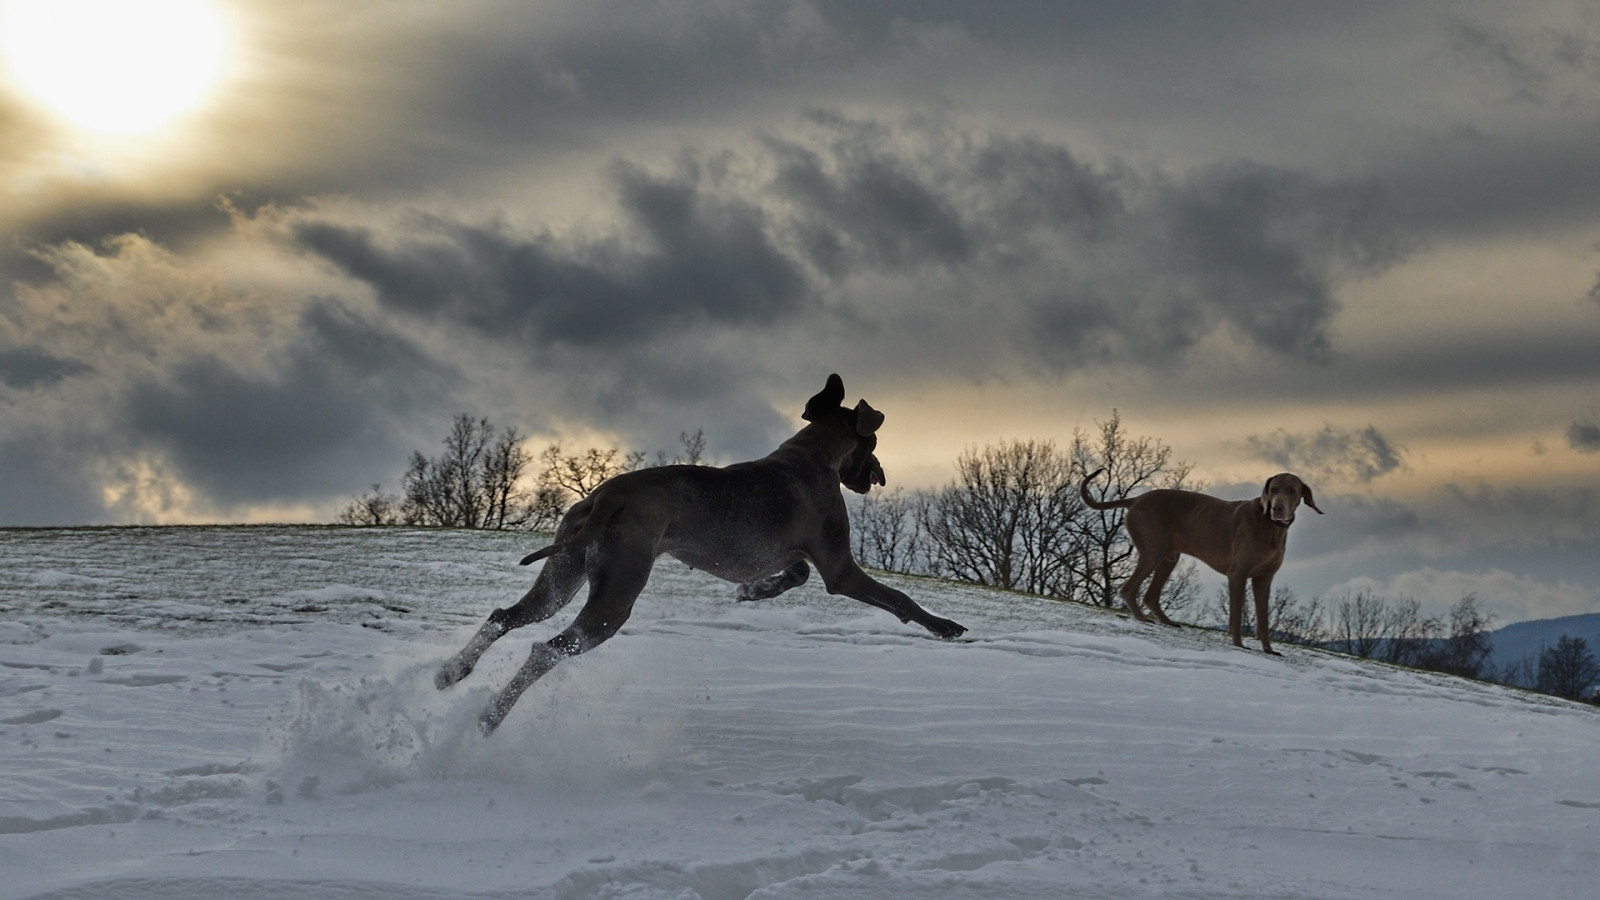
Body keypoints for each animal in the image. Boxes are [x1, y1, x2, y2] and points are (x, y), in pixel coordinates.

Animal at [1075, 470, 1324, 650]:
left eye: (1292, 490)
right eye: (1273, 490)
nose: (1277, 508)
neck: (1271, 527)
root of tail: (1136, 499)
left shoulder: (1264, 579)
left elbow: (1263, 619)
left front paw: (1269, 650)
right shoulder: (1238, 574)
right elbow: (1236, 615)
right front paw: (1239, 645)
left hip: (1169, 558)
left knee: (1150, 596)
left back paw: (1166, 621)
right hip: (1153, 552)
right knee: (1128, 588)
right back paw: (1142, 618)